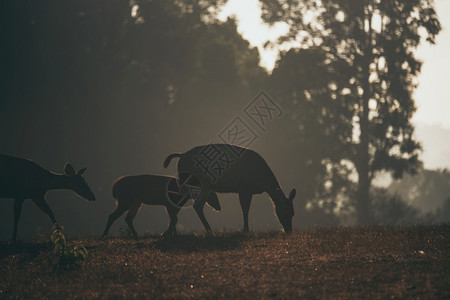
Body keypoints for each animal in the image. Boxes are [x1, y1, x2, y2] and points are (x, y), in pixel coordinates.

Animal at [163, 144, 298, 234]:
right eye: (286, 212)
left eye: (293, 212)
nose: (289, 230)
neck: (262, 180)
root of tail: (181, 156)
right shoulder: (244, 188)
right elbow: (245, 209)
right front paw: (246, 230)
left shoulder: (247, 190)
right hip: (200, 183)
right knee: (196, 205)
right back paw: (209, 230)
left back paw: (170, 231)